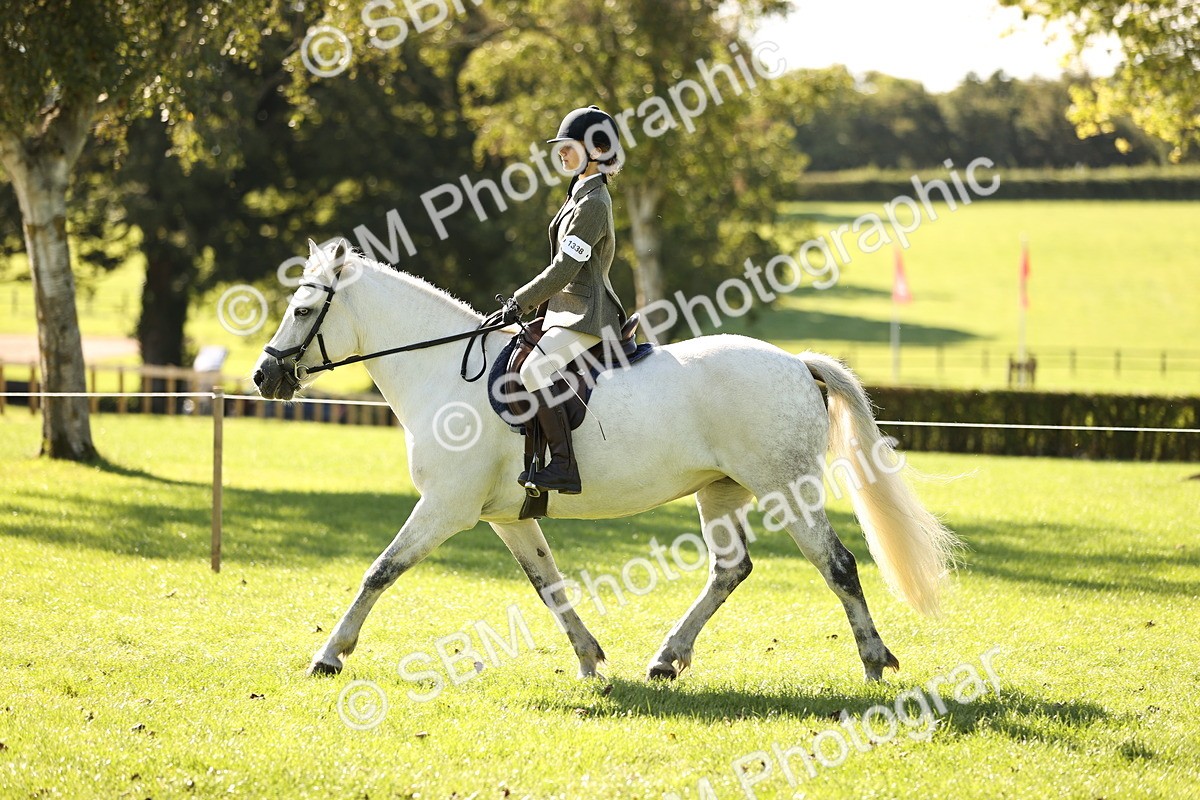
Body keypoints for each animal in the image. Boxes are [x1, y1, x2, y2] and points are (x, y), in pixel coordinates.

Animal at [253, 240, 961, 682]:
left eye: (302, 309)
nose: (264, 377)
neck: (443, 371)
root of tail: (795, 362)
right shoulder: (507, 517)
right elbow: (549, 585)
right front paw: (590, 659)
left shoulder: (446, 507)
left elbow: (380, 571)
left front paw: (329, 655)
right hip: (720, 491)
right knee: (731, 569)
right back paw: (668, 658)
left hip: (786, 488)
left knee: (836, 564)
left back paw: (874, 659)